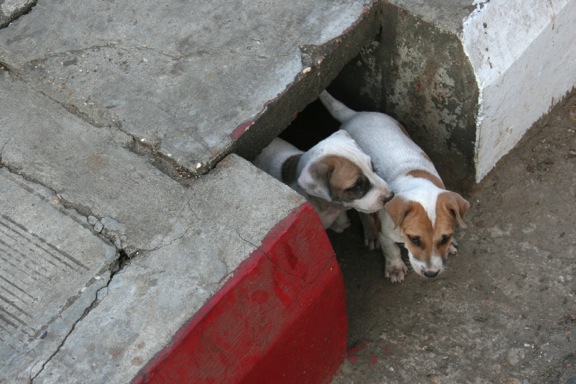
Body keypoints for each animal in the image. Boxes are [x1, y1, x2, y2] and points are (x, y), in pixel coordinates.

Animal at [320, 91, 468, 282]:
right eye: (415, 239)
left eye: (445, 238)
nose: (431, 274)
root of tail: (354, 115)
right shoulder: (385, 233)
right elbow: (392, 249)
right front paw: (395, 268)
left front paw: (449, 247)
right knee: (364, 213)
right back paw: (370, 231)